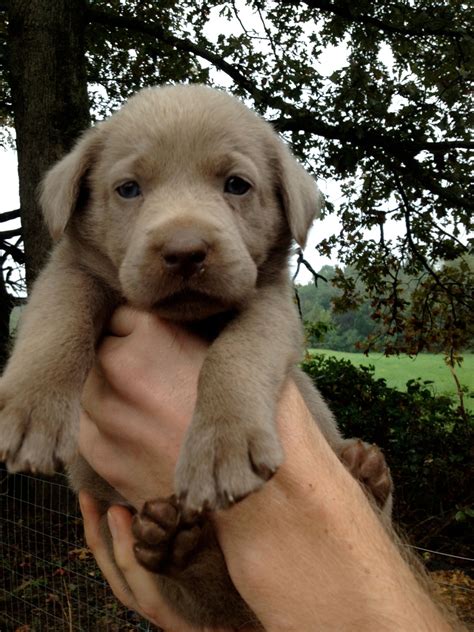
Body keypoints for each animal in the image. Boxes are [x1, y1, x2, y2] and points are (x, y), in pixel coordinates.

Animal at [0, 84, 392, 628]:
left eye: (237, 185)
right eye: (128, 189)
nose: (185, 251)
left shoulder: (270, 304)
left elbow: (237, 353)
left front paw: (222, 448)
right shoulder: (70, 271)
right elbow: (59, 320)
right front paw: (32, 412)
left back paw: (366, 473)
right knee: (200, 591)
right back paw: (170, 543)